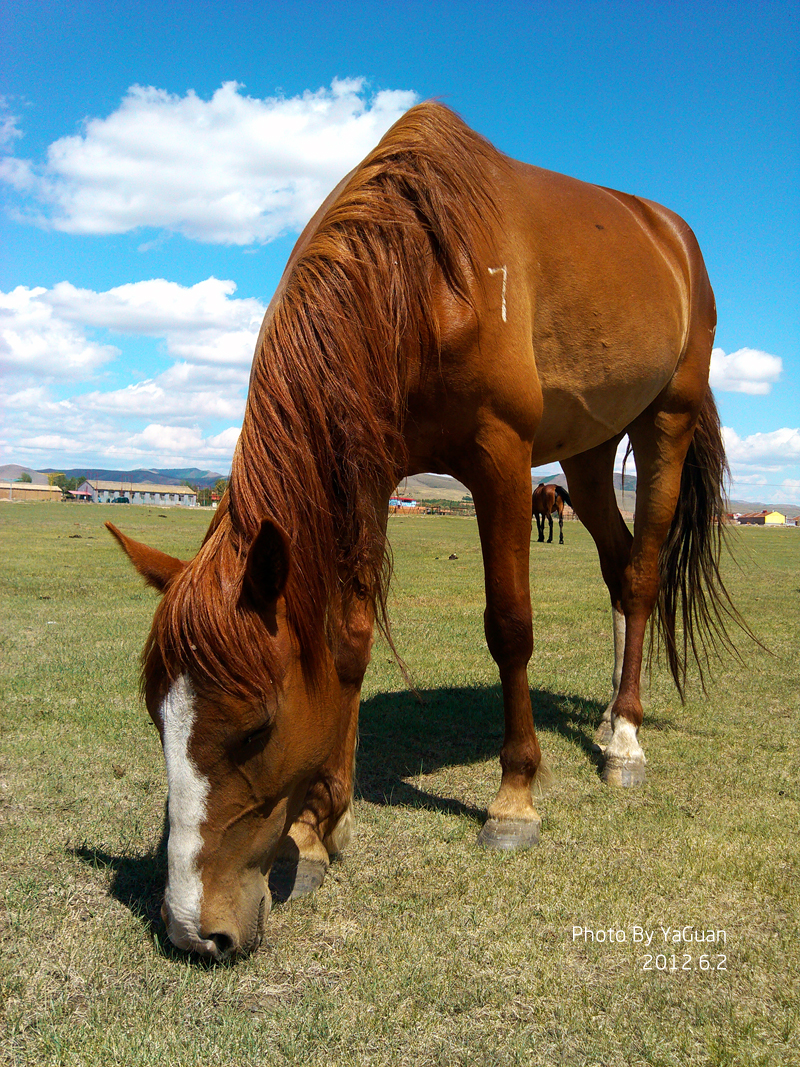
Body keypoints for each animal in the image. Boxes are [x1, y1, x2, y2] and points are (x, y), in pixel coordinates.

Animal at [107, 102, 737, 960]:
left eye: (256, 726)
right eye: (158, 718)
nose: (192, 931)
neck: (423, 277)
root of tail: (670, 233)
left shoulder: (501, 458)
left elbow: (510, 627)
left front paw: (513, 800)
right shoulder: (366, 465)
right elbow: (348, 638)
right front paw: (315, 832)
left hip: (665, 419)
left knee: (640, 576)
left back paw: (626, 741)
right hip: (587, 448)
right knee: (615, 565)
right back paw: (611, 714)